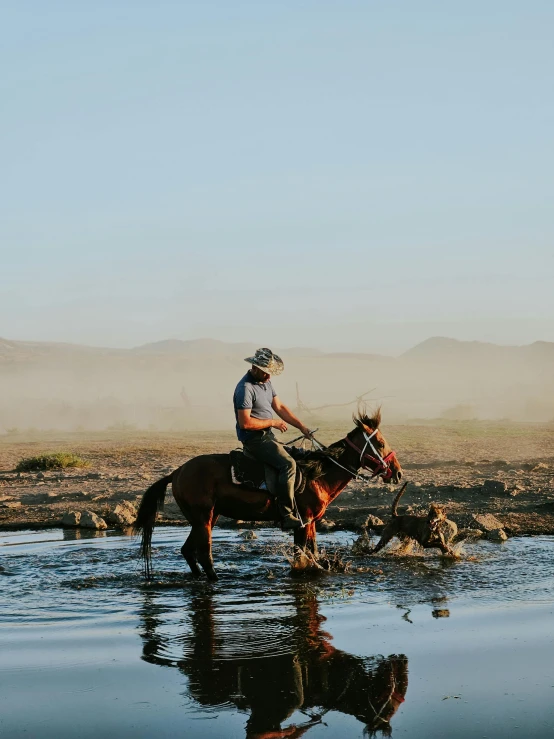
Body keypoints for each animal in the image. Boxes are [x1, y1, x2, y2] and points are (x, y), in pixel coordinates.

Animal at [134, 408, 402, 580]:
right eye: (379, 443)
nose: (397, 472)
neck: (317, 474)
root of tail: (177, 471)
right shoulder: (302, 522)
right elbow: (302, 553)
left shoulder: (311, 523)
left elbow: (312, 551)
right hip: (203, 519)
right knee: (204, 554)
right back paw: (215, 579)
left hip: (204, 519)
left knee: (188, 551)